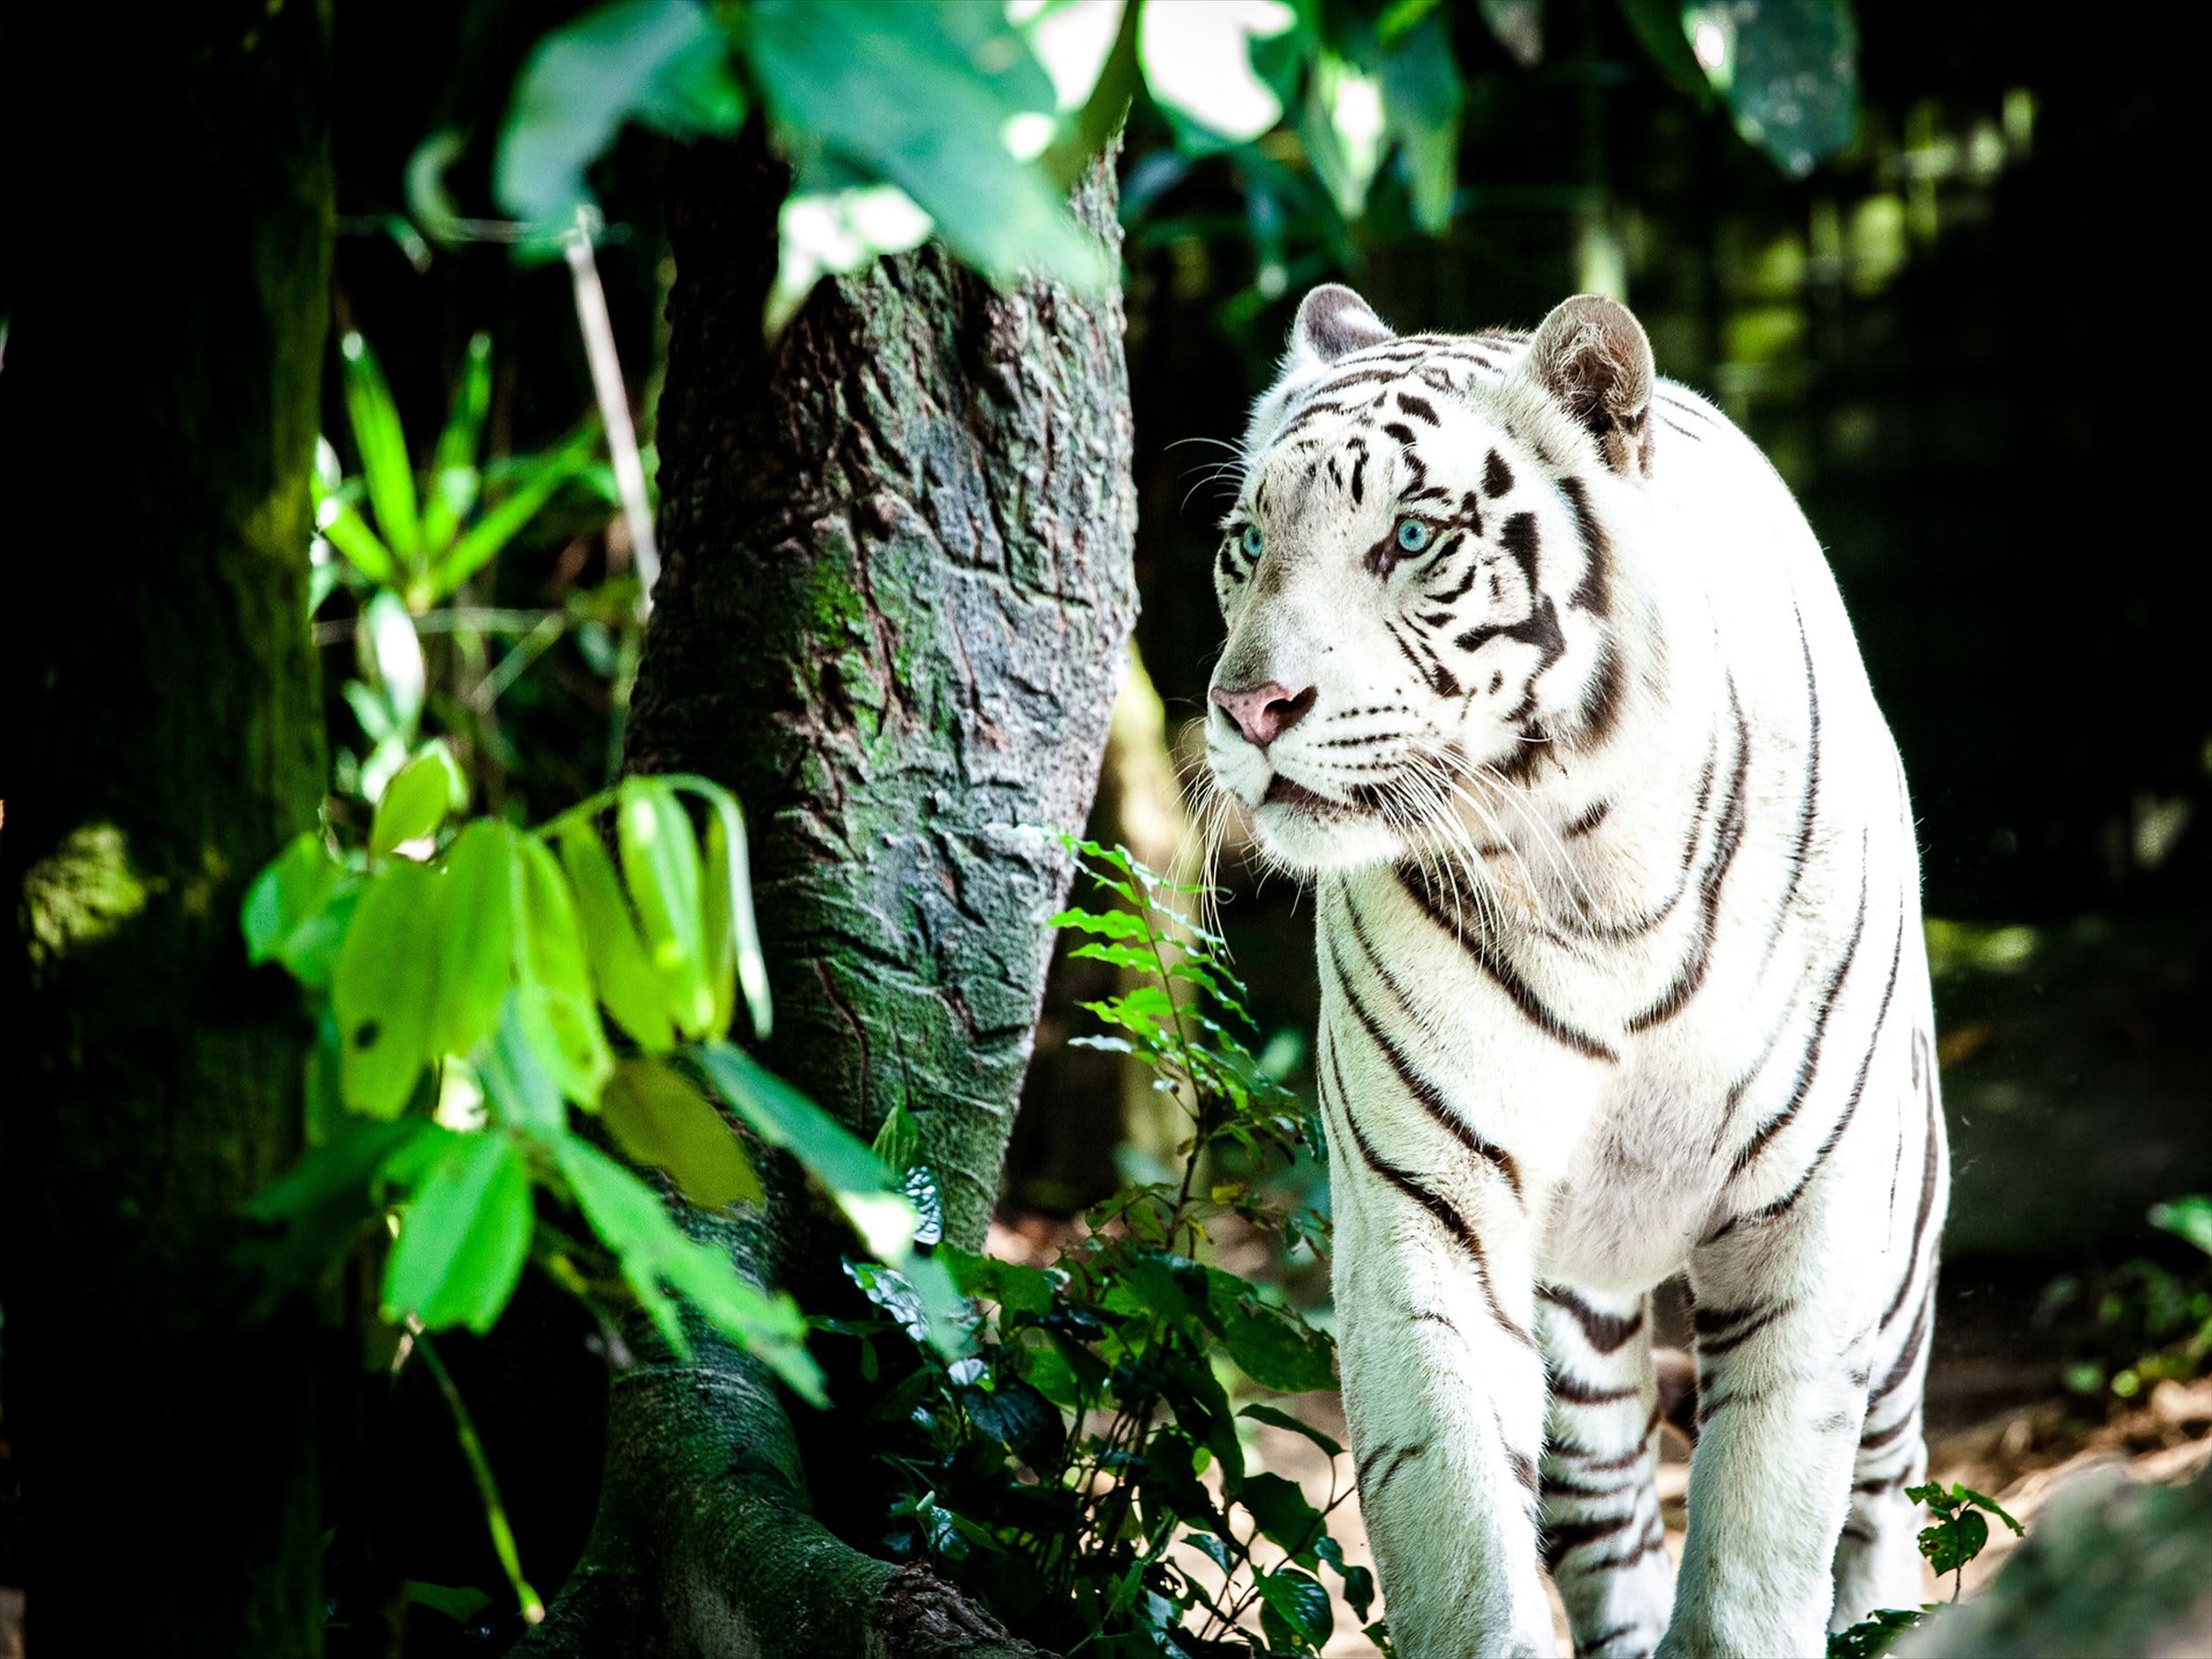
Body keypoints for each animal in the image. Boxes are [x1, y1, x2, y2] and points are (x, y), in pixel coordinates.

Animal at [1203, 289, 1947, 1659]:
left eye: (1411, 535)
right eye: (1246, 542)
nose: (1250, 706)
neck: (1592, 874)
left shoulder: (1809, 1215)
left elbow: (1762, 1541)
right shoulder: (1426, 1211)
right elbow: (1456, 1530)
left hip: (1901, 1242)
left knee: (1884, 1489)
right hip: (1581, 1326)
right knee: (1610, 1521)